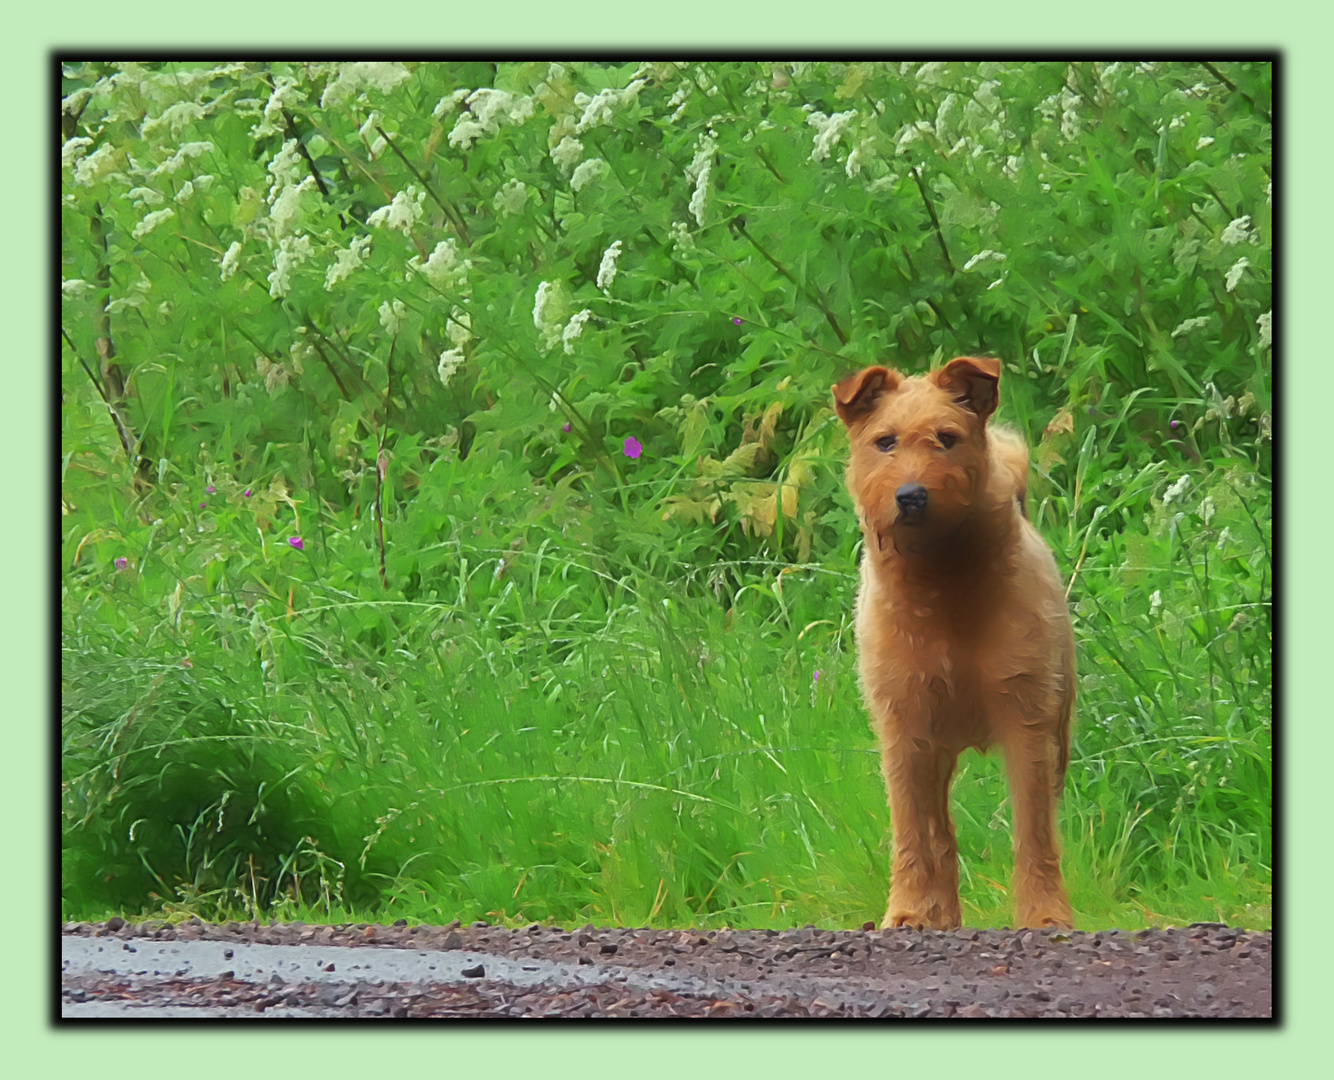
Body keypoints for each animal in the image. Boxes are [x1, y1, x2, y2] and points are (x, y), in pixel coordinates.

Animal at [832, 354, 1072, 928]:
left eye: (947, 438)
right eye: (885, 442)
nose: (911, 495)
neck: (940, 586)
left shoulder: (1028, 722)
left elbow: (1034, 832)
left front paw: (1045, 915)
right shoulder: (904, 731)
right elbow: (914, 833)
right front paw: (910, 910)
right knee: (938, 832)